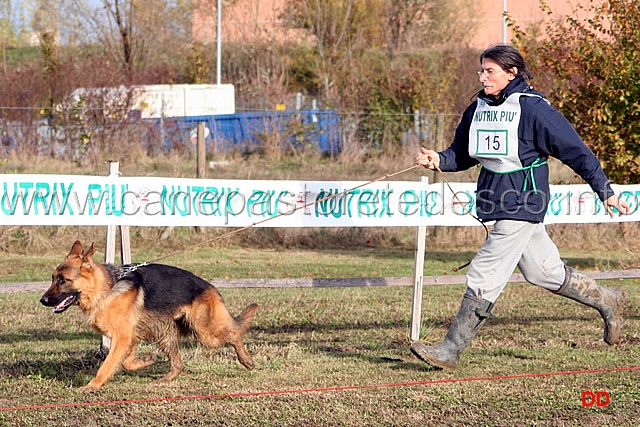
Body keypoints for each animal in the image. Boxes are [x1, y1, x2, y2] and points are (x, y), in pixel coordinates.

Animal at [40, 241, 260, 392]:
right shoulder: (129, 338)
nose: (42, 300)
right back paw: (166, 379)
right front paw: (147, 359)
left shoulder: (123, 338)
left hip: (205, 333)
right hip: (166, 334)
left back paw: (246, 360)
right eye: (52, 278)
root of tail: (211, 287)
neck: (106, 288)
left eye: (63, 280)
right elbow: (126, 362)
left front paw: (92, 386)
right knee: (178, 364)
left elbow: (107, 365)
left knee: (233, 334)